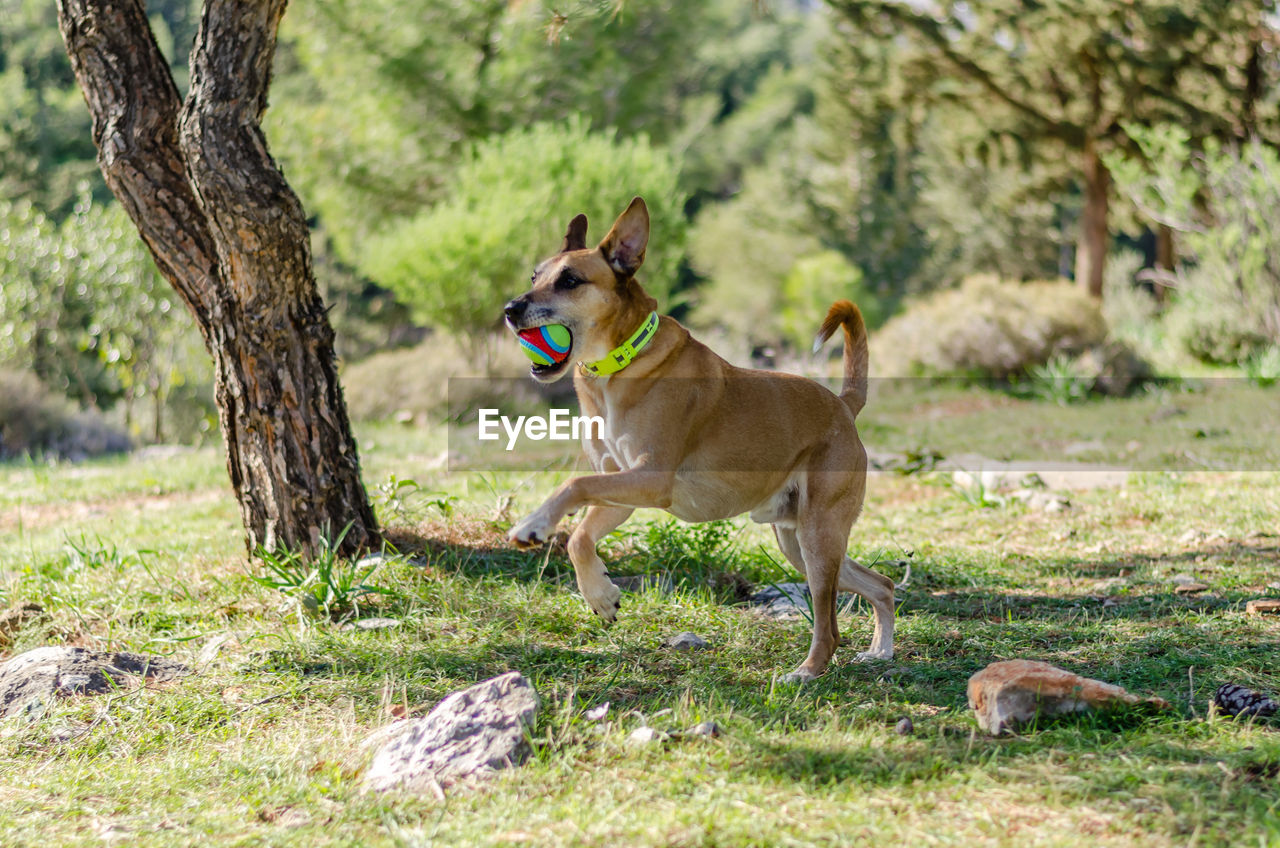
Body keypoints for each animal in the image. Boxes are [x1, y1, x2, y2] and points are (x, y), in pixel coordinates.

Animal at [499, 195, 890, 681]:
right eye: (535, 276)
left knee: (829, 623)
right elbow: (579, 536)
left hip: (818, 538)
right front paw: (600, 595)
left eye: (570, 280)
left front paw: (533, 523)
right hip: (796, 539)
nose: (510, 309)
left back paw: (807, 670)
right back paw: (881, 650)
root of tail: (843, 404)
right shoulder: (621, 491)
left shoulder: (651, 478)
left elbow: (574, 485)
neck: (621, 364)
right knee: (882, 584)